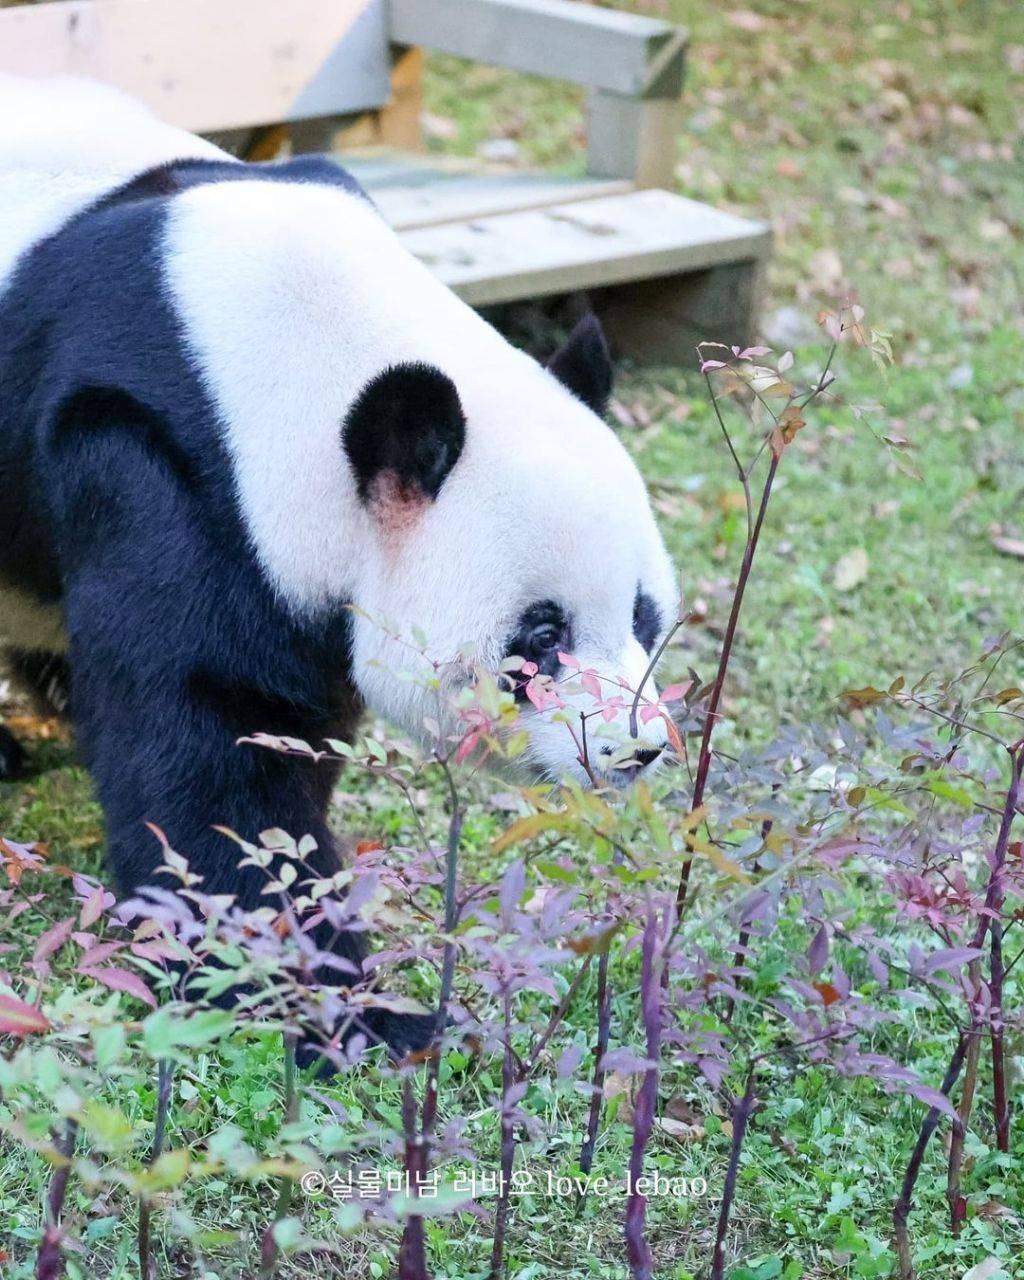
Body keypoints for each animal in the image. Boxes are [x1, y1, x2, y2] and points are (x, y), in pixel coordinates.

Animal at [2, 80, 680, 1054]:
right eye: (541, 635)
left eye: (642, 615)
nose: (638, 747)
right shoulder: (161, 459)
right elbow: (213, 748)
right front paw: (365, 1017)